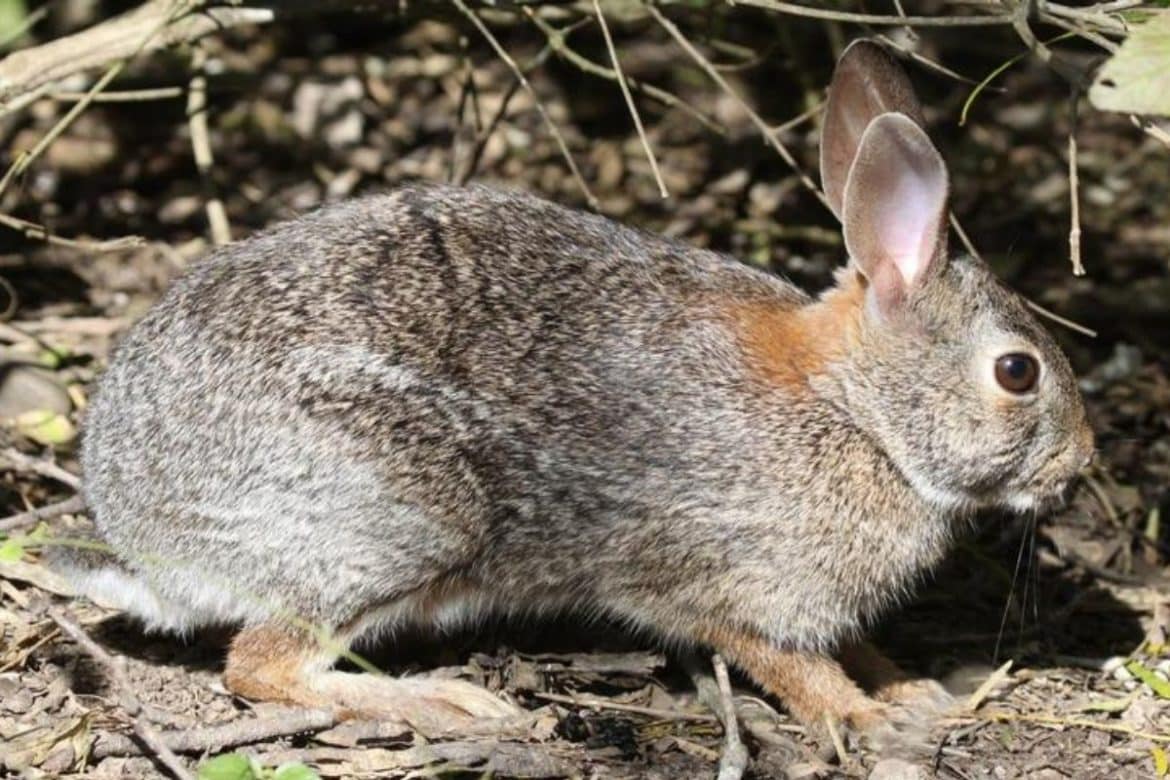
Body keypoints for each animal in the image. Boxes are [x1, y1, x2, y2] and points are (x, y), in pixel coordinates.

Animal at [56, 39, 1093, 748]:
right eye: (1018, 371)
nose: (1080, 466)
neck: (858, 411)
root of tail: (142, 532)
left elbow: (852, 645)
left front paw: (911, 688)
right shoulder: (721, 577)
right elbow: (783, 660)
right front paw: (865, 719)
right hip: (394, 519)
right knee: (261, 667)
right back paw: (447, 701)